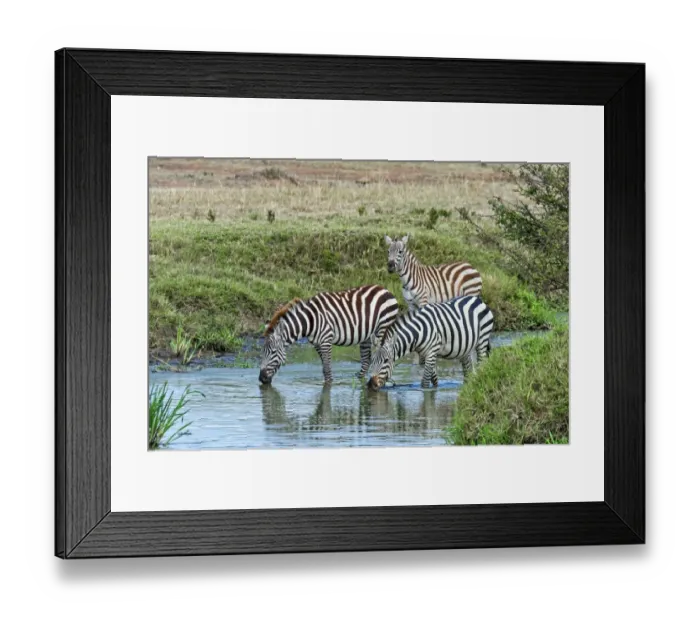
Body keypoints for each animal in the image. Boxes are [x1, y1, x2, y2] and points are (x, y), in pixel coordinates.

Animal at [259, 285, 399, 385]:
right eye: (262, 353)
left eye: (273, 352)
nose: (261, 379)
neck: (310, 321)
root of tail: (384, 289)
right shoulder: (316, 344)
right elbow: (324, 368)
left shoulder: (326, 340)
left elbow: (326, 368)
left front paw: (328, 386)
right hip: (366, 336)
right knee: (365, 361)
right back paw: (359, 381)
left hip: (383, 328)